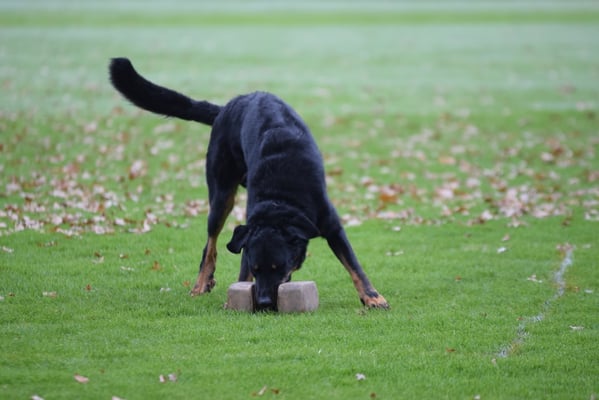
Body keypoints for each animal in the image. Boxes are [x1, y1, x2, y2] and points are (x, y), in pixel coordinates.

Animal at [109, 58, 388, 310]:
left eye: (278, 267)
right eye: (258, 268)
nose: (263, 302)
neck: (279, 200)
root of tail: (229, 106)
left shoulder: (331, 225)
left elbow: (354, 265)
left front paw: (372, 296)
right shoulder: (249, 233)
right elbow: (242, 269)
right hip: (221, 196)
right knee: (210, 243)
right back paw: (201, 282)